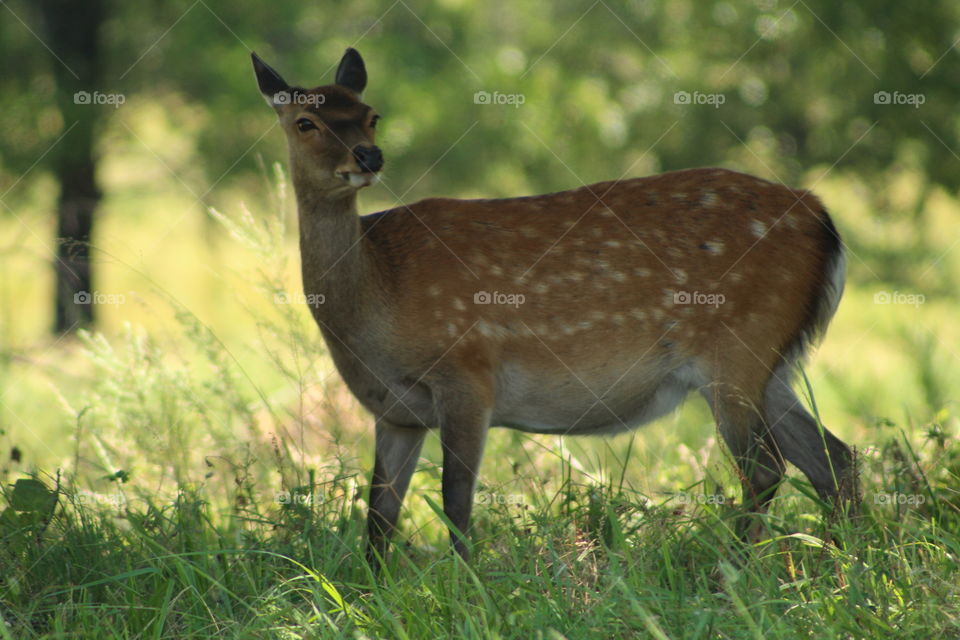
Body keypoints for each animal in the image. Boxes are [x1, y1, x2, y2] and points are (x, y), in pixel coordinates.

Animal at [251, 47, 855, 569]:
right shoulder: (394, 411)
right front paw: (371, 592)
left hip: (739, 344)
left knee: (766, 468)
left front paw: (465, 584)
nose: (368, 156)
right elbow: (379, 515)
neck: (377, 300)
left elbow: (454, 500)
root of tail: (824, 219)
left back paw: (733, 572)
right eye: (305, 122)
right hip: (770, 362)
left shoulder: (467, 372)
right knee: (834, 457)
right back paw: (845, 565)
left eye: (372, 115)